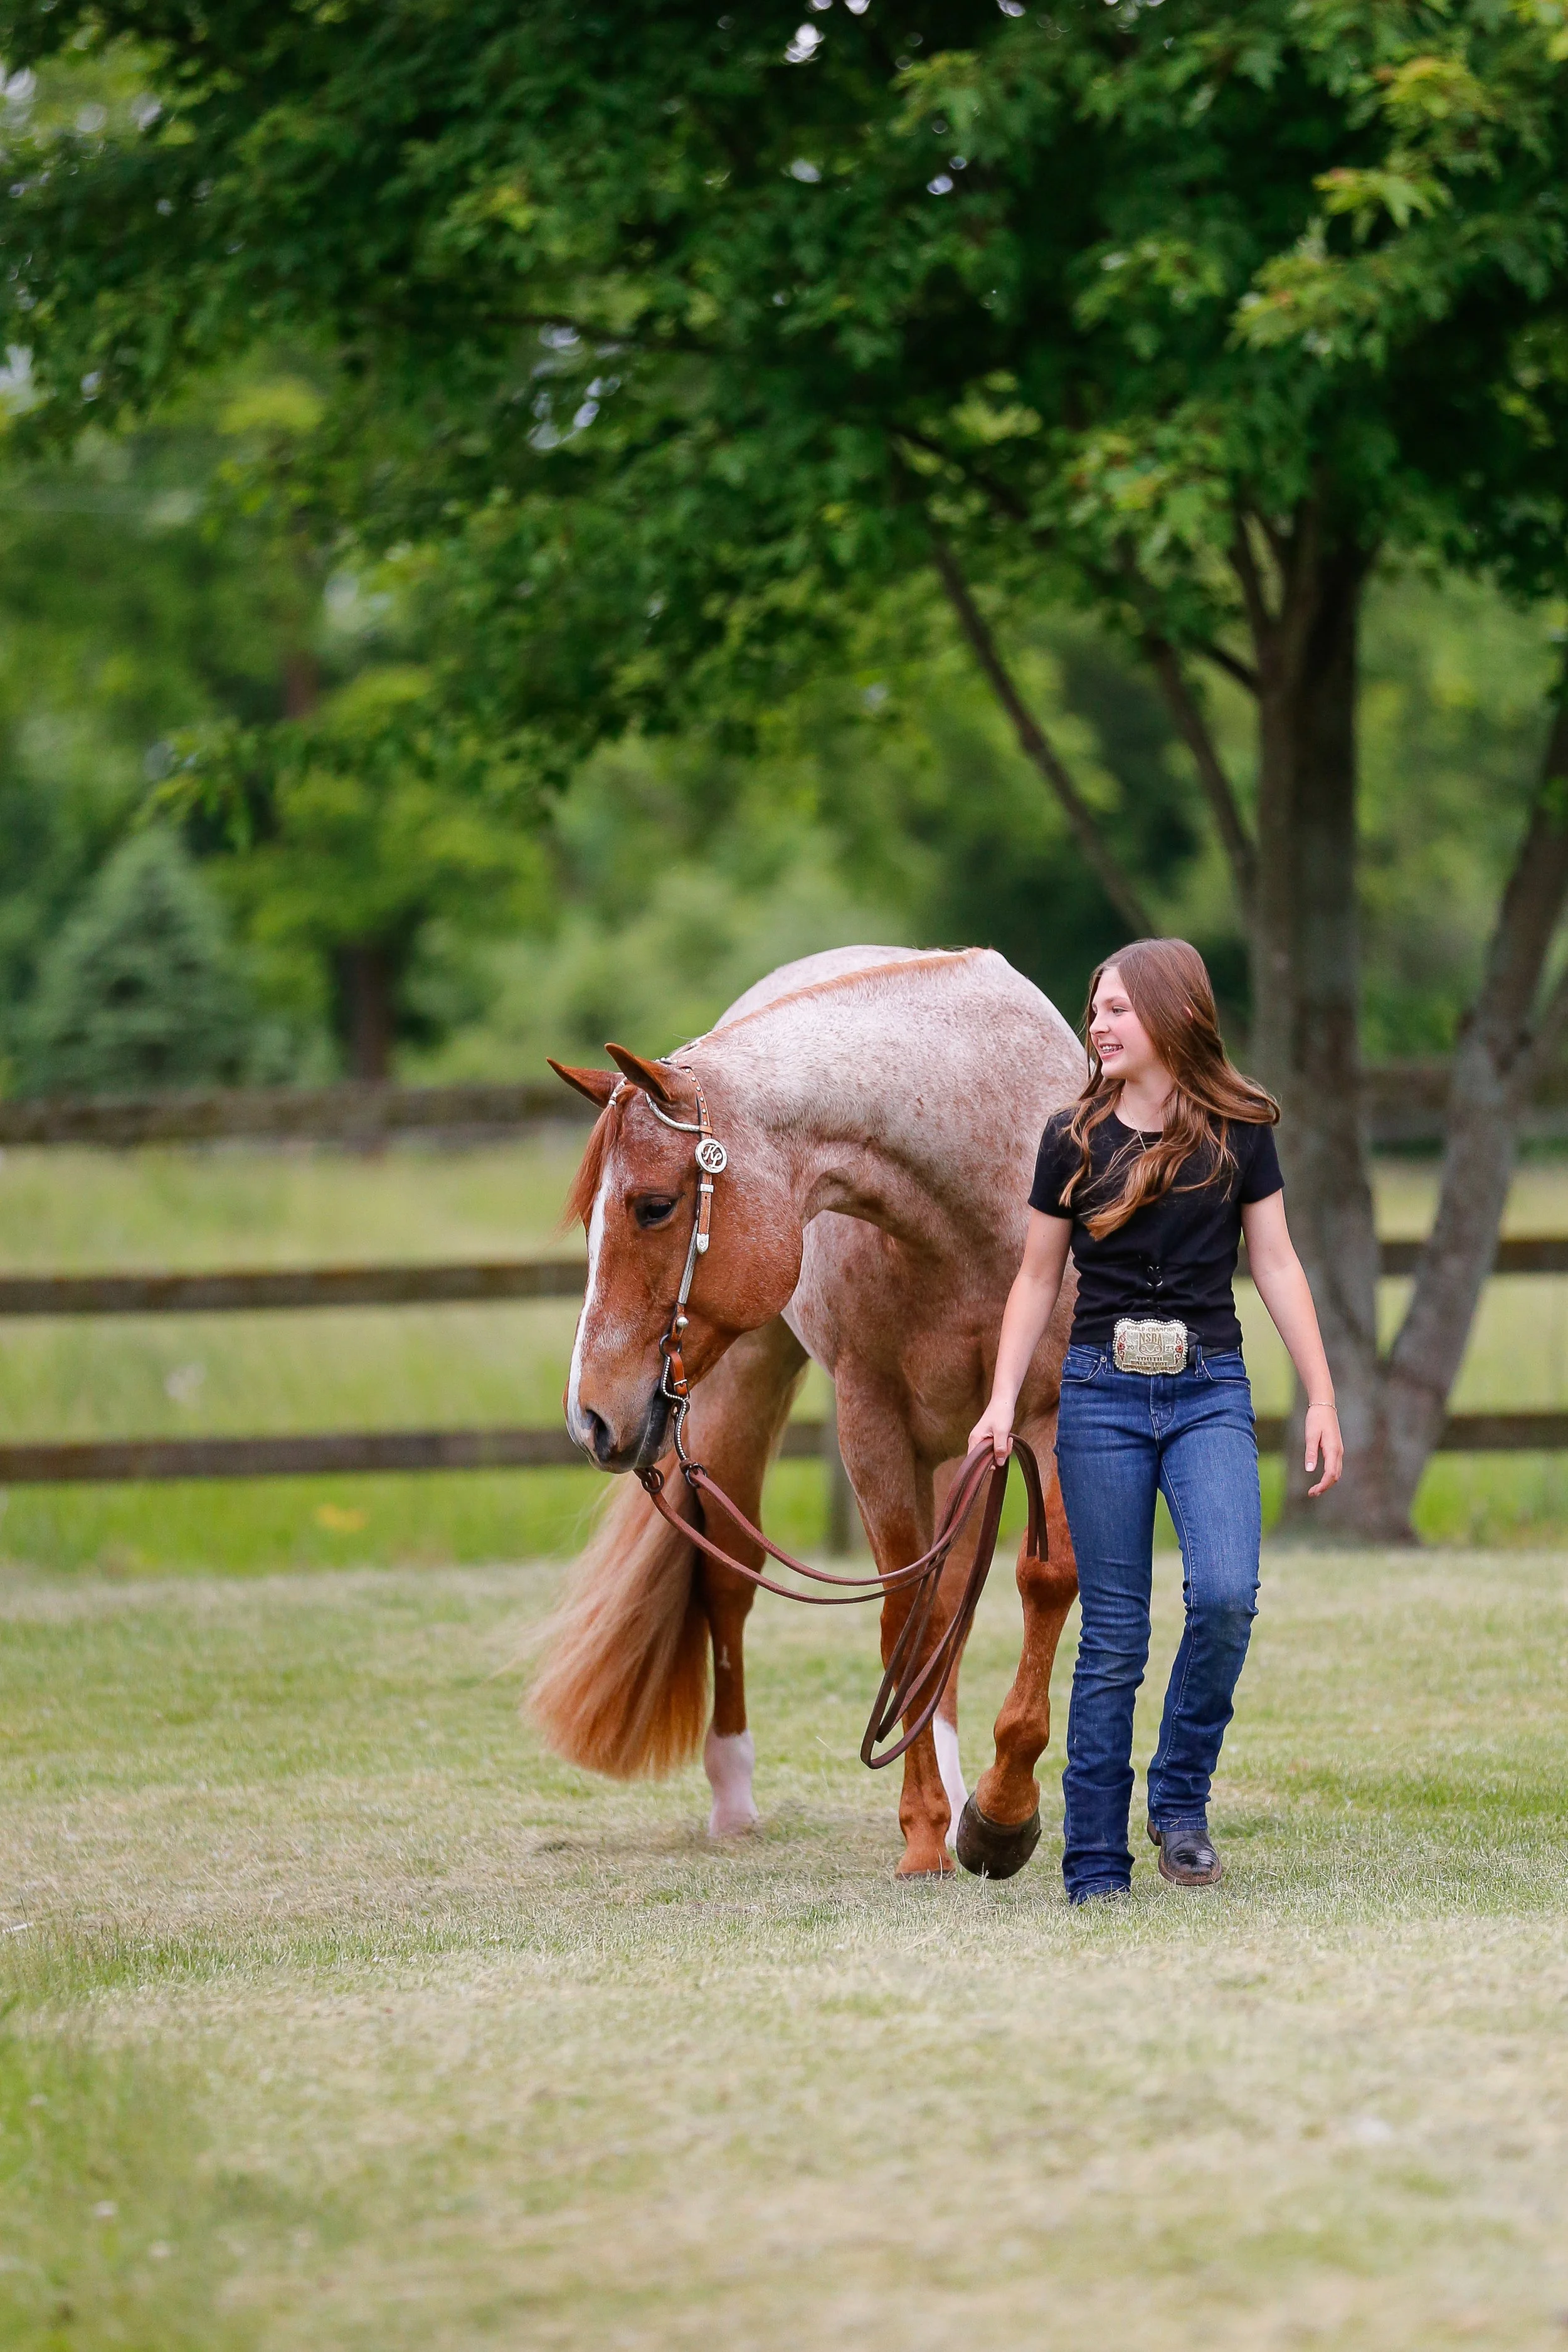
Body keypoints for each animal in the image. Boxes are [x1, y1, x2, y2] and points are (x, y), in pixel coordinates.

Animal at [529, 945, 1084, 1879]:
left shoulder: (1046, 1414)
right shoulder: (873, 1424)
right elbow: (902, 1612)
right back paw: (735, 1796)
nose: (590, 1417)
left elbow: (1037, 1584)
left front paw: (999, 1817)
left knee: (951, 1606)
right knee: (726, 1578)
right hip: (739, 1385)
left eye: (653, 1206)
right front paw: (926, 1833)